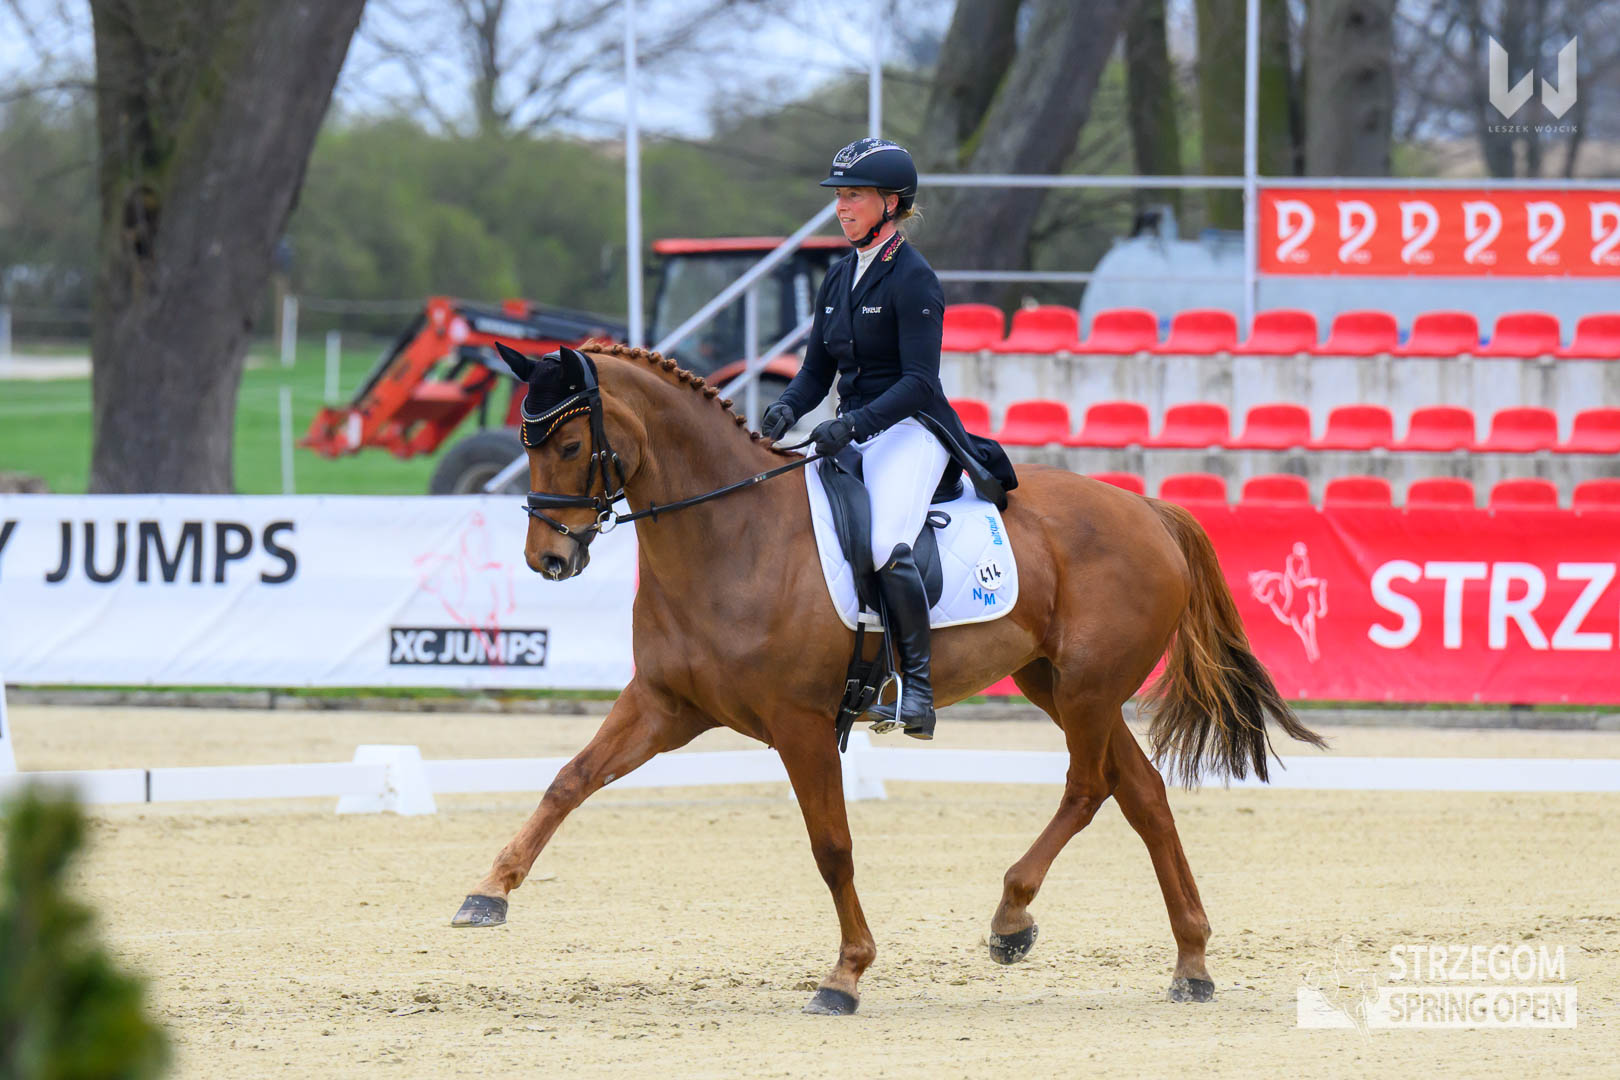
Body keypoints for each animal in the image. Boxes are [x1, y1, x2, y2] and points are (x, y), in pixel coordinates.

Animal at [450, 342, 1326, 1016]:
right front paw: (488, 892)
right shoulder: (665, 705)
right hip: (1055, 683)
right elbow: (569, 780)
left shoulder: (801, 726)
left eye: (568, 446)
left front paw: (844, 976)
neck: (729, 534)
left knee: (1090, 788)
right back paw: (1190, 963)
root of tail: (1148, 510)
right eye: (527, 444)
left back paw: (1014, 918)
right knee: (1140, 792)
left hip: (1086, 689)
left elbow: (831, 847)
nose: (548, 560)